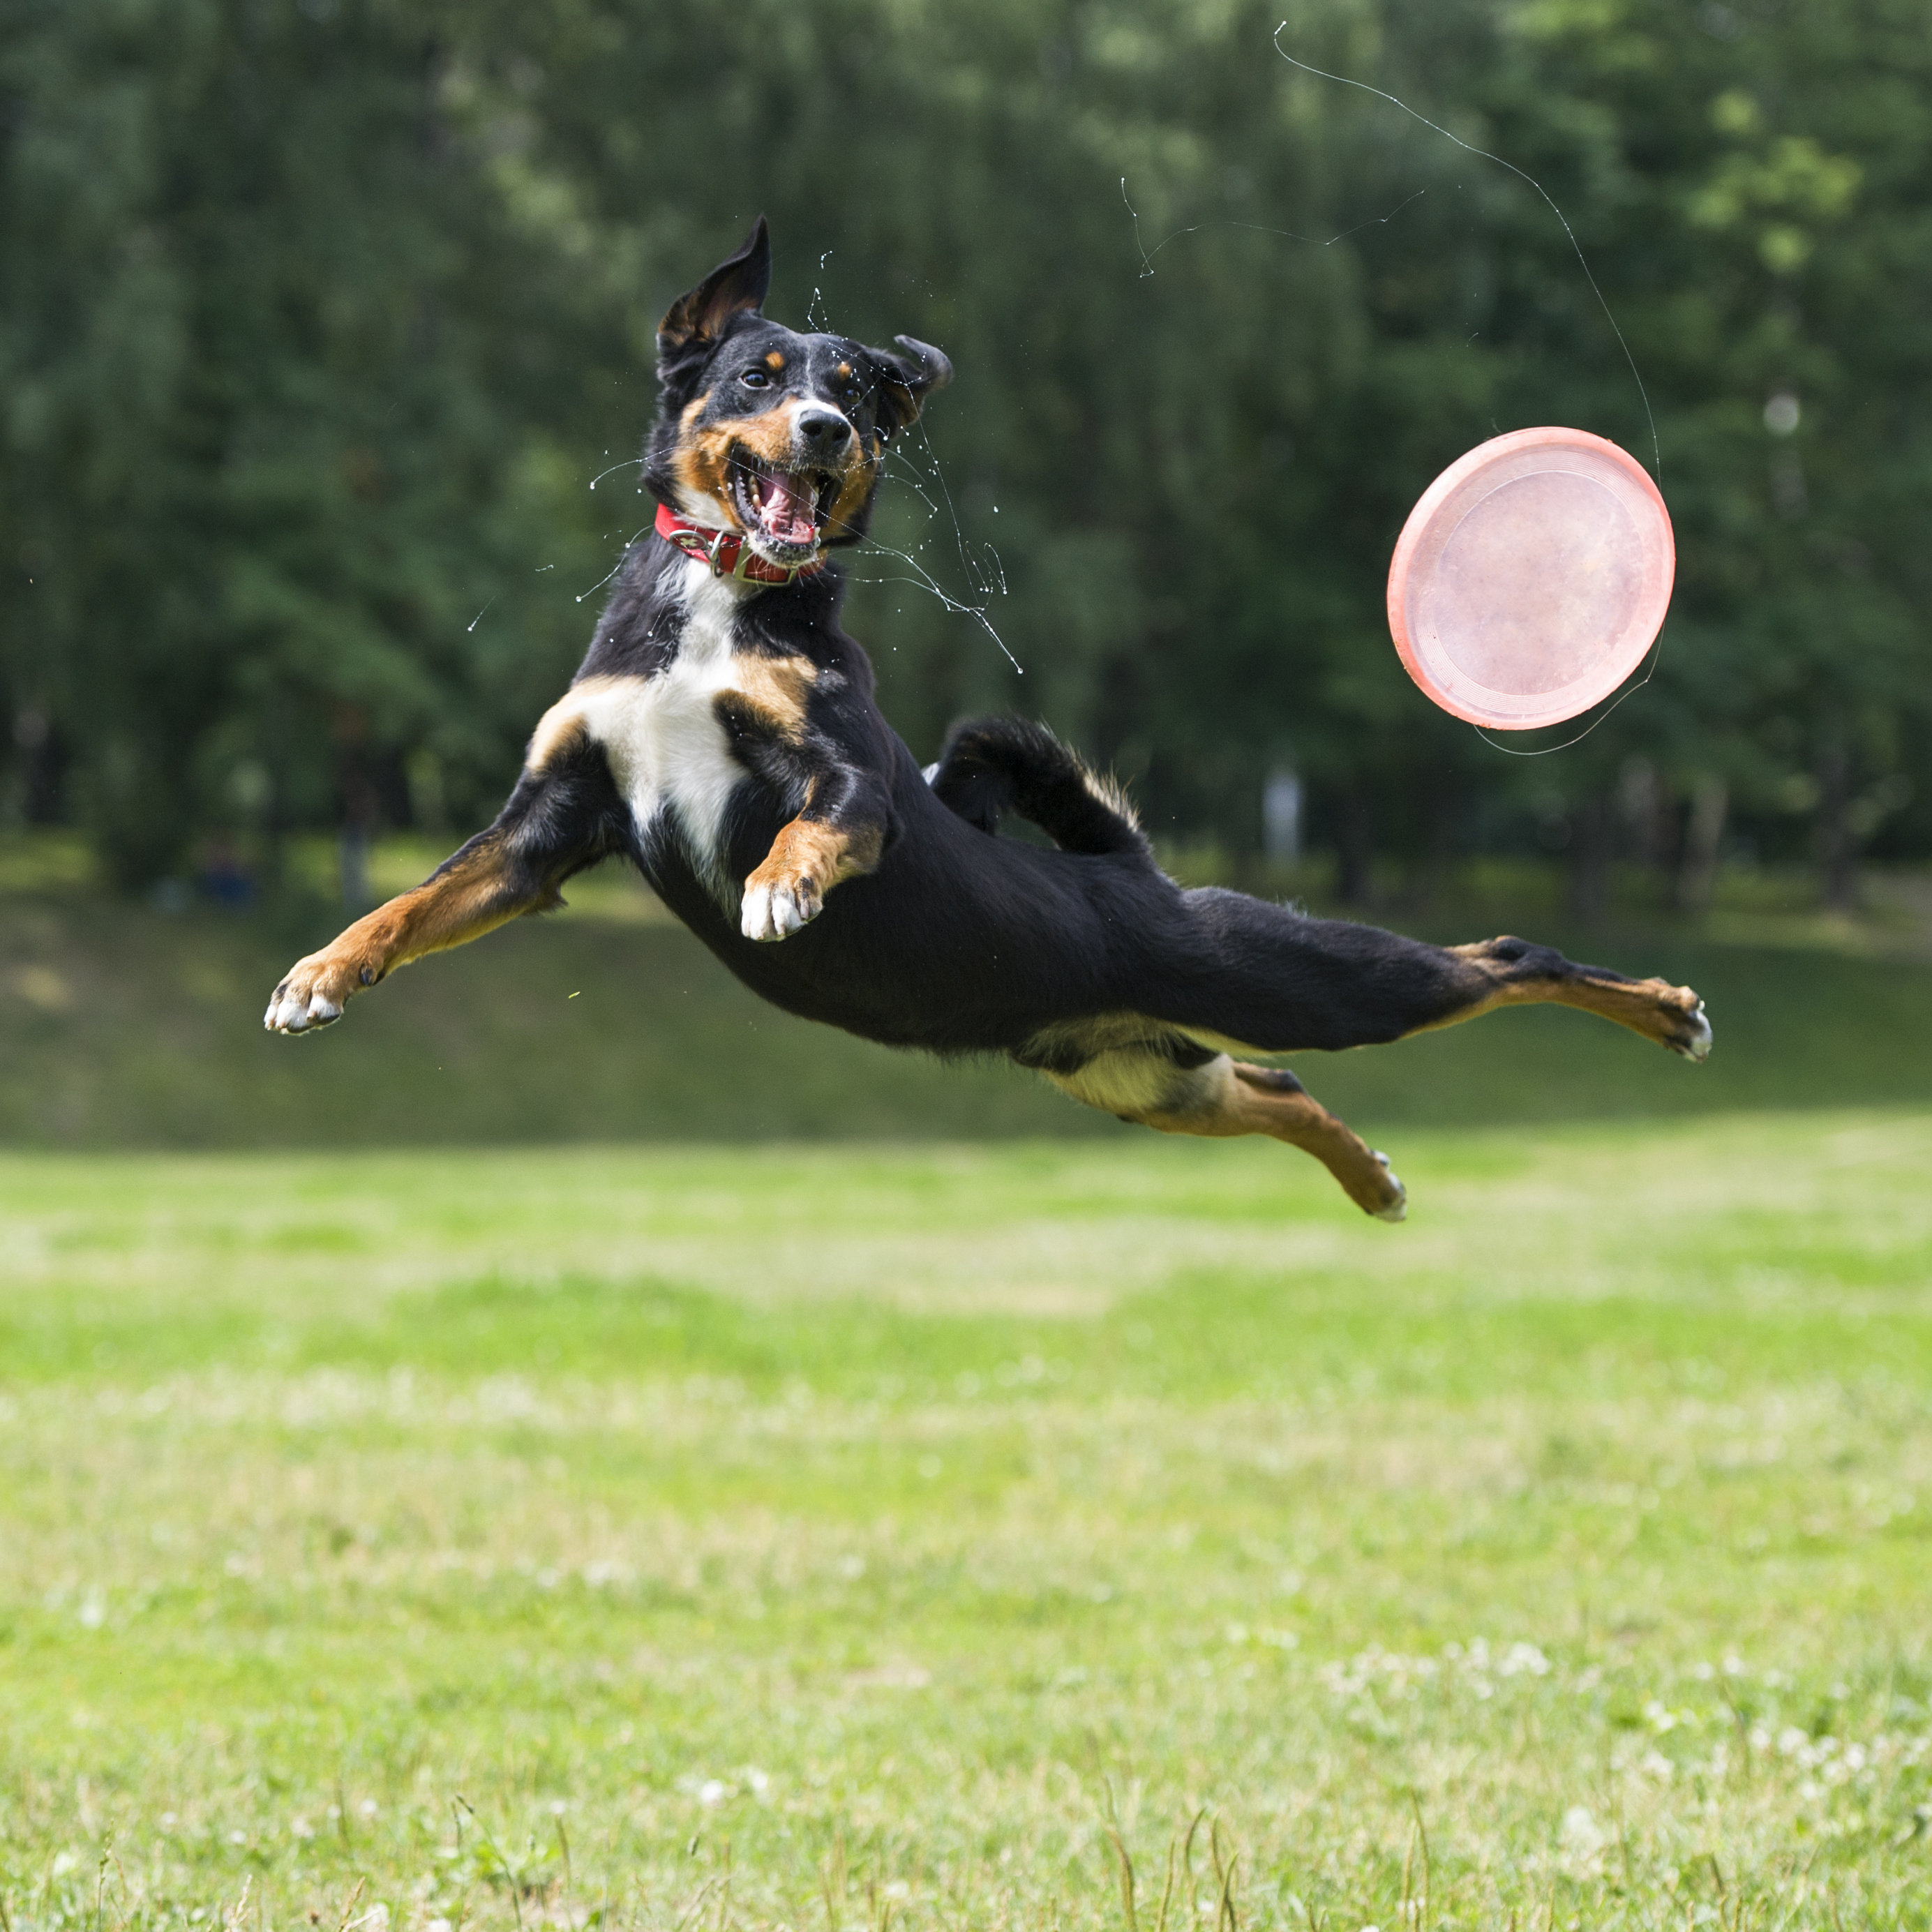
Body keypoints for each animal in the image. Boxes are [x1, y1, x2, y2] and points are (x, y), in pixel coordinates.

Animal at [264, 219, 1715, 1213]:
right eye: (758, 374)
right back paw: (1371, 1178)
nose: (825, 428)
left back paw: (1662, 1012)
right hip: (1137, 1073)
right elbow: (410, 901)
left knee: (1504, 955)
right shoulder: (551, 820)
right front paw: (319, 975)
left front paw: (780, 888)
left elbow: (813, 828)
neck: (717, 607)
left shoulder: (848, 781)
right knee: (1277, 1084)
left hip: (1299, 978)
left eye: (858, 389)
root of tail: (1127, 877)